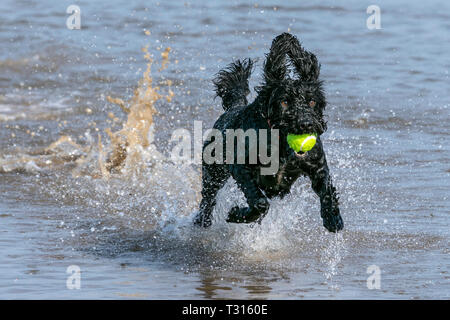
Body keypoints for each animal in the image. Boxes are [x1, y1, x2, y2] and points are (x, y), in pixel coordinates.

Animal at [194, 33, 344, 232]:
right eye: (284, 102)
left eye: (312, 101)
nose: (306, 124)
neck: (281, 146)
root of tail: (234, 106)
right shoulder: (240, 167)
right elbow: (259, 202)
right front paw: (238, 215)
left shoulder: (317, 165)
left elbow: (326, 190)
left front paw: (333, 217)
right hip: (214, 171)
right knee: (208, 199)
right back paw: (202, 221)